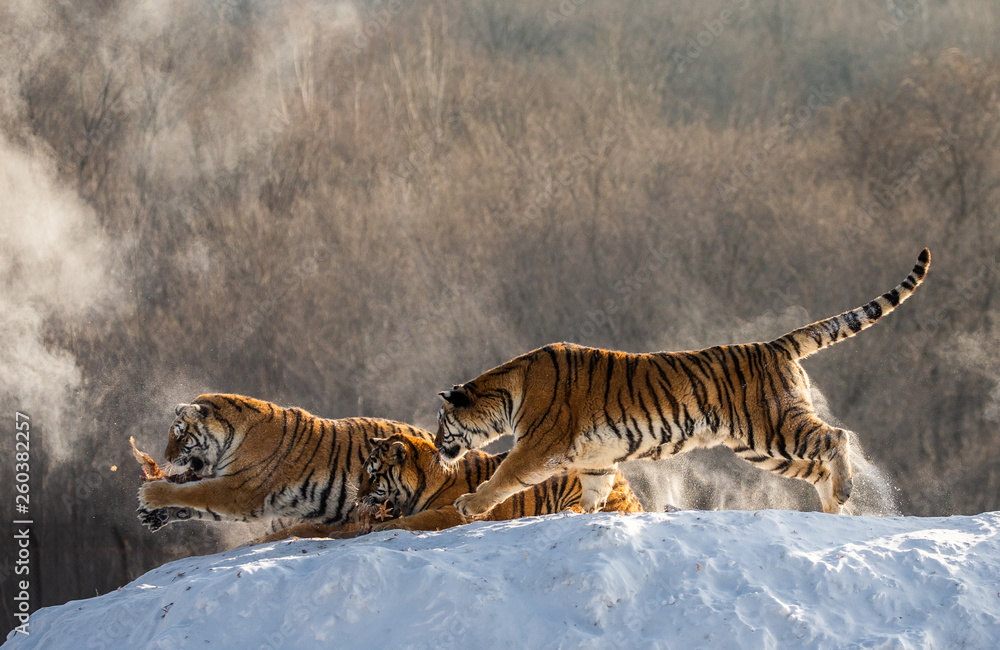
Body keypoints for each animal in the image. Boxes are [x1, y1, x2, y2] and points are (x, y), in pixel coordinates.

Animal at [135, 393, 434, 534]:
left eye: (179, 434)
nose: (166, 458)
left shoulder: (237, 491)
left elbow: (194, 492)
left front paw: (150, 494)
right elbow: (193, 501)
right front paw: (153, 514)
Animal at [435, 249, 931, 517]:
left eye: (441, 422)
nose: (439, 447)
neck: (507, 392)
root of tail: (775, 344)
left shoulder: (539, 445)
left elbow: (504, 476)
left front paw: (469, 505)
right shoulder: (597, 458)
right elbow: (594, 492)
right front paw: (580, 516)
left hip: (775, 426)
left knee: (836, 436)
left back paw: (845, 492)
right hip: (763, 446)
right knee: (816, 466)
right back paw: (833, 510)